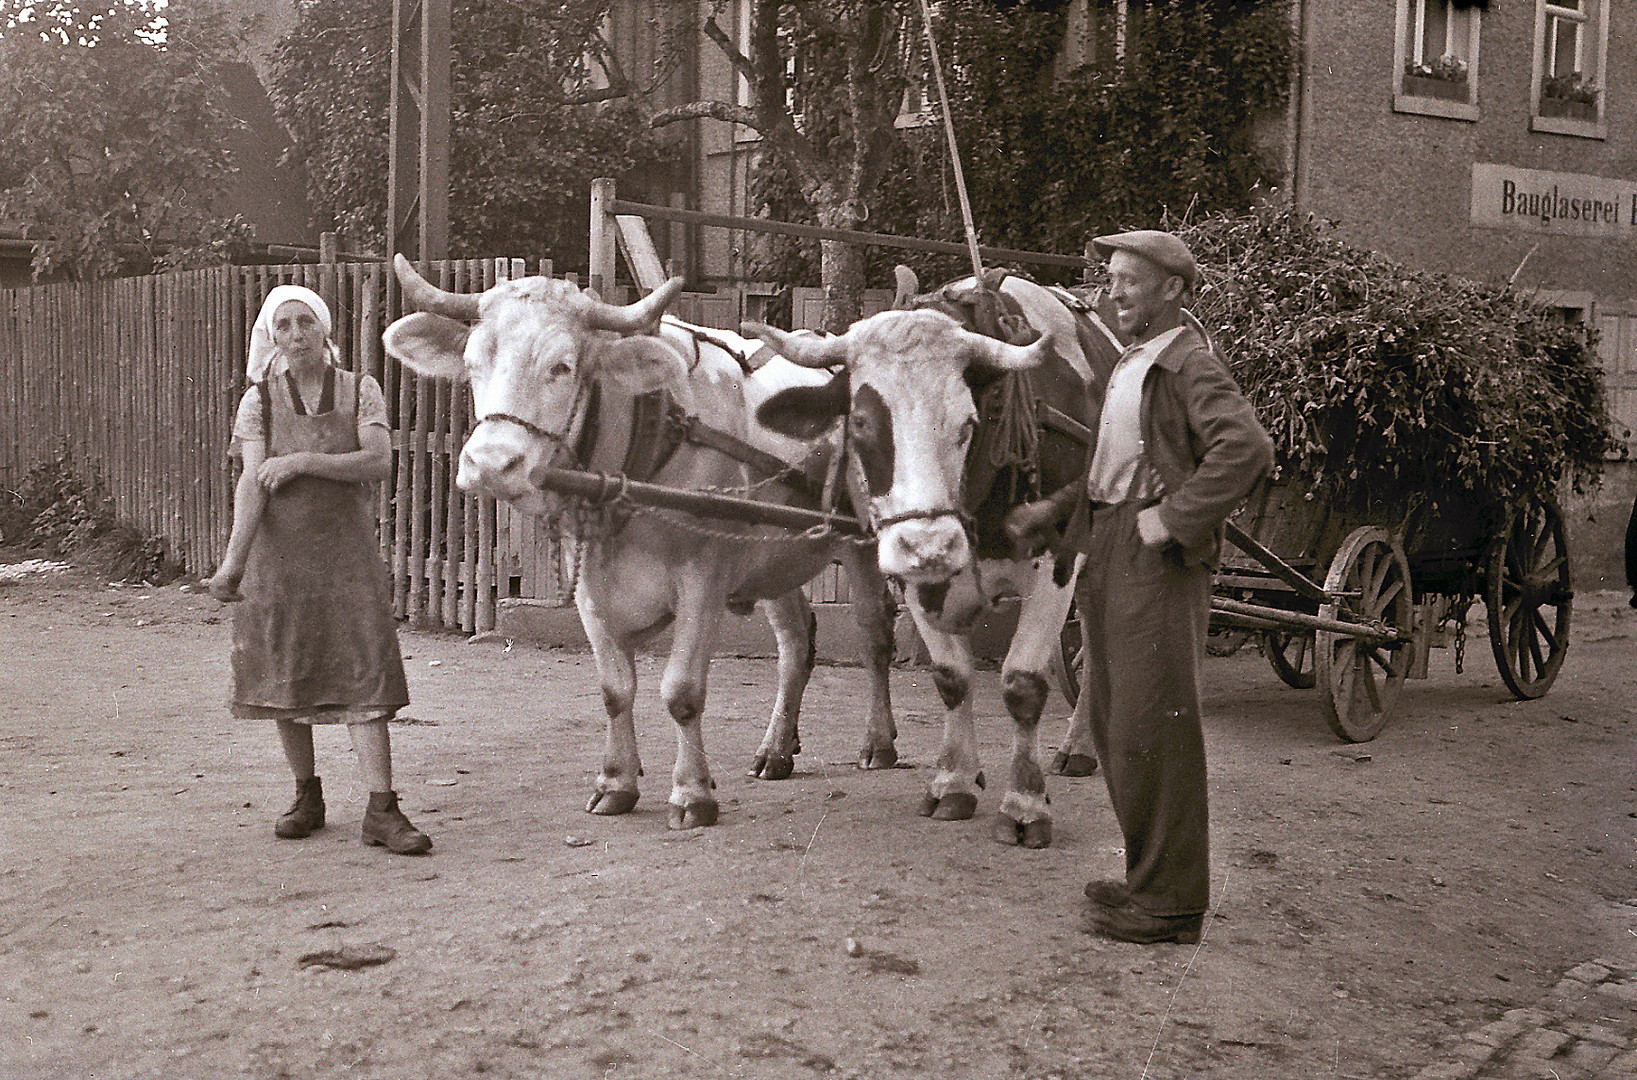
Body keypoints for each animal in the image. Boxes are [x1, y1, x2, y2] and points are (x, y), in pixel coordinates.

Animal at [383, 256, 897, 831]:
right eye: (472, 364)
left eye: (563, 366)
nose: (492, 464)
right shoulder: (590, 585)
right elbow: (614, 690)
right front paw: (615, 783)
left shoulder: (703, 577)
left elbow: (681, 691)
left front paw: (692, 793)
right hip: (772, 554)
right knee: (795, 642)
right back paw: (775, 750)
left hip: (861, 539)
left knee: (874, 631)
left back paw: (878, 742)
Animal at [746, 274, 1119, 850]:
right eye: (860, 423)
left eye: (968, 422)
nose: (930, 546)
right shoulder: (914, 576)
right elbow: (951, 677)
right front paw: (954, 781)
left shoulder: (1059, 561)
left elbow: (1022, 683)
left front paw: (1025, 804)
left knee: (1097, 653)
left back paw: (1077, 748)